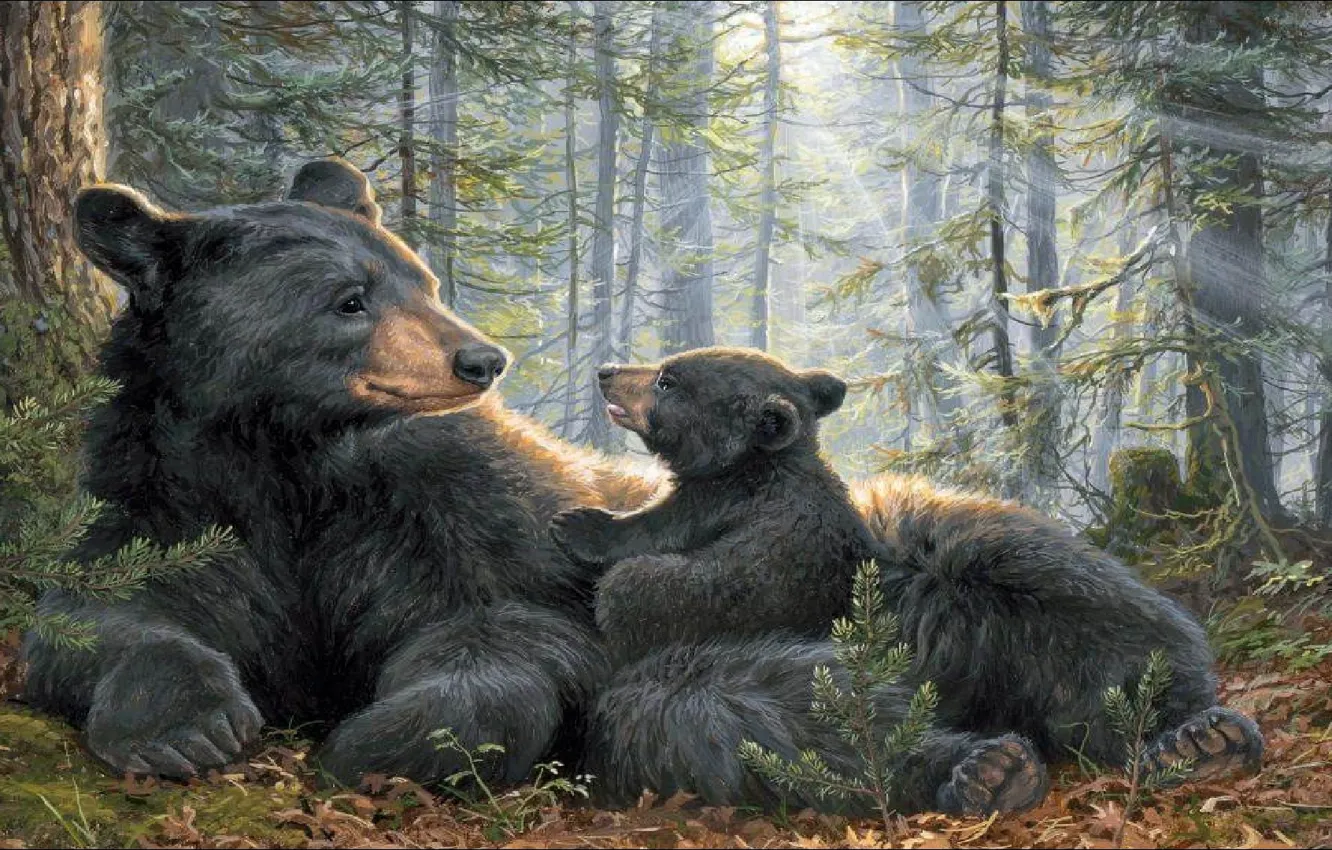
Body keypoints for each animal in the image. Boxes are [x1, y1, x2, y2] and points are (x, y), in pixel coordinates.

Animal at [21, 158, 660, 788]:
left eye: (424, 286)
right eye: (350, 301)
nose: (484, 360)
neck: (292, 452)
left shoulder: (450, 513)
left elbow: (509, 624)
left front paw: (382, 743)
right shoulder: (166, 493)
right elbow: (102, 612)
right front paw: (188, 727)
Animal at [565, 348, 1264, 816]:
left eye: (666, 379)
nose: (605, 370)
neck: (766, 465)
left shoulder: (719, 506)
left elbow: (648, 544)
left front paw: (583, 525)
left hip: (1014, 580)